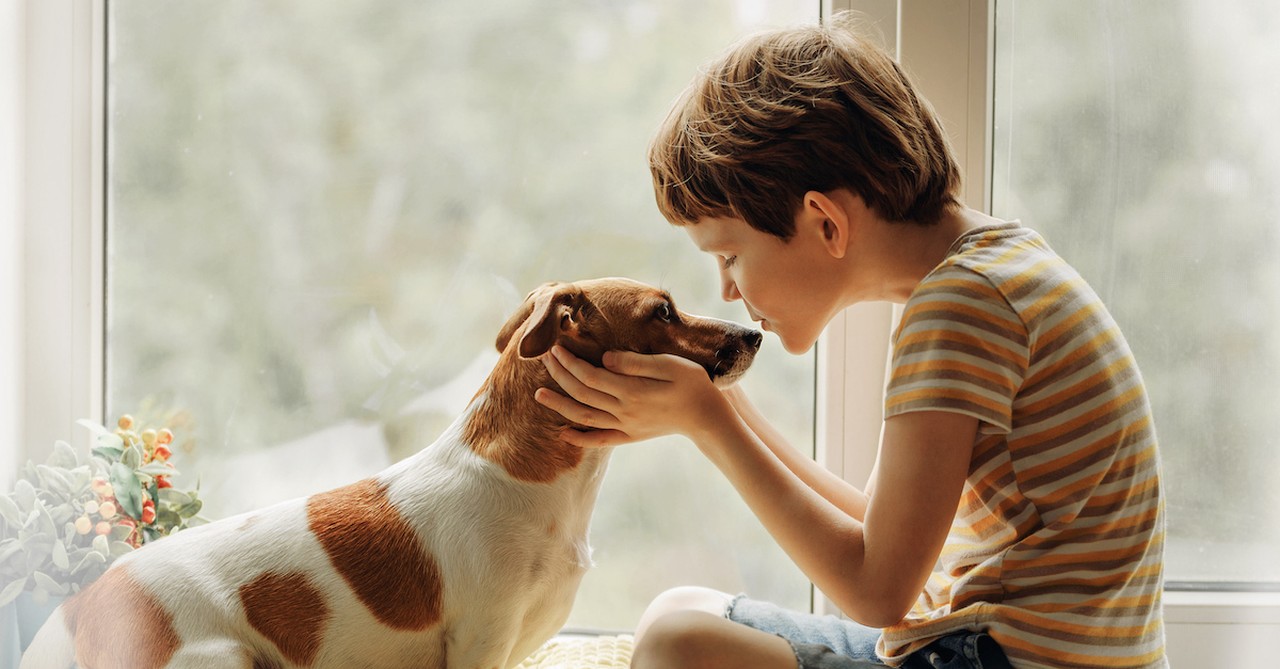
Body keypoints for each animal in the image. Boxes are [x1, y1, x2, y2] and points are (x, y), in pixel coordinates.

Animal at [24, 277, 757, 669]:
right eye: (663, 311)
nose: (753, 333)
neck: (531, 480)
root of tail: (79, 610)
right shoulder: (479, 641)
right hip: (221, 659)